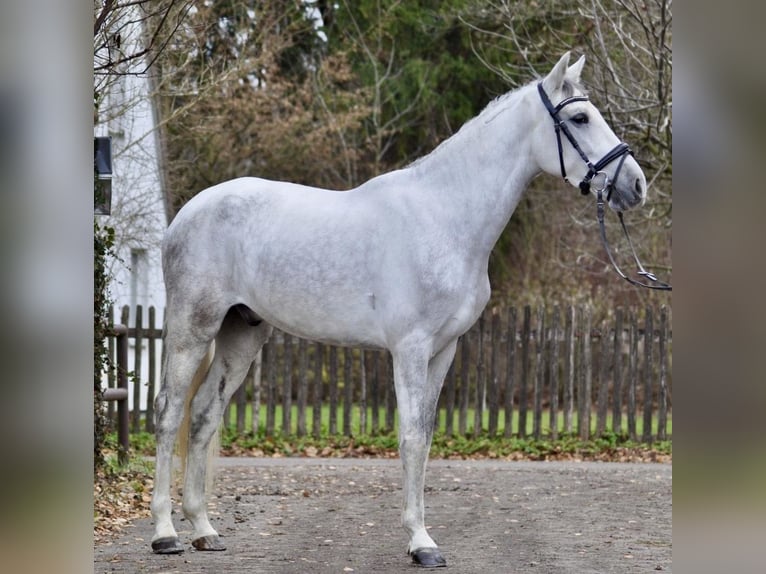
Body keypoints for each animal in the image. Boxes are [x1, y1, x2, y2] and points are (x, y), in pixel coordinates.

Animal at [150, 52, 647, 567]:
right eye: (580, 118)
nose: (636, 185)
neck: (444, 216)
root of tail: (186, 215)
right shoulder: (409, 348)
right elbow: (409, 436)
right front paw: (421, 542)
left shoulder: (444, 350)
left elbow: (425, 437)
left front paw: (422, 536)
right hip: (192, 329)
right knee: (169, 413)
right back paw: (166, 533)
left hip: (242, 334)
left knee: (204, 414)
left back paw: (204, 529)